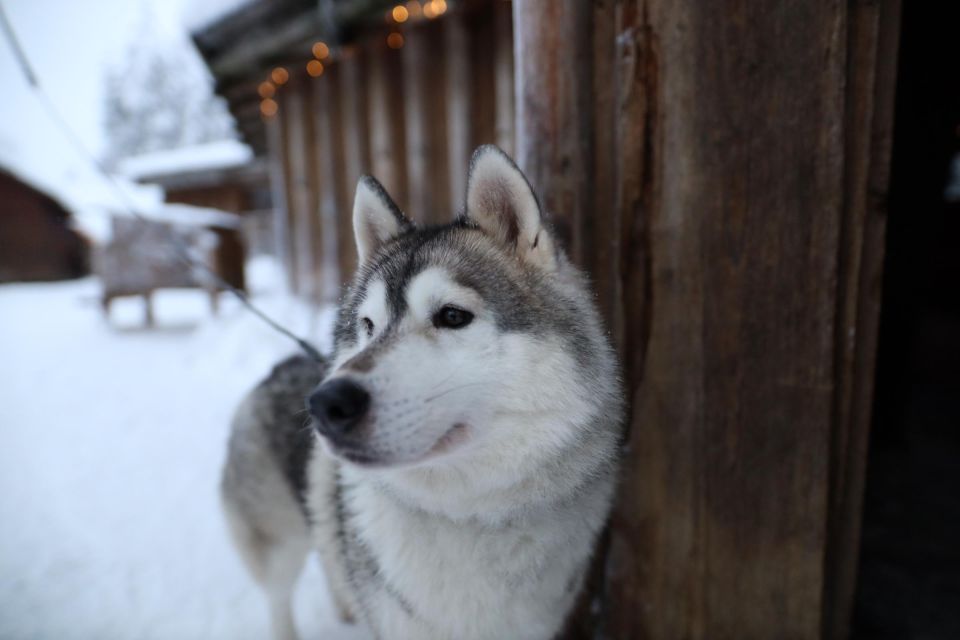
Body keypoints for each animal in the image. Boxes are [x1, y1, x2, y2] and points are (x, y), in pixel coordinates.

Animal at [226, 146, 632, 640]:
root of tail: (282, 364)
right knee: (280, 597)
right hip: (277, 546)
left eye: (452, 316)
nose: (325, 404)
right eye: (369, 326)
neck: (471, 515)